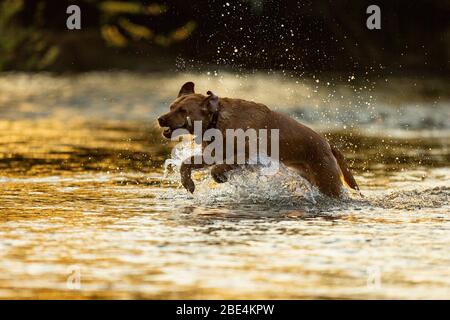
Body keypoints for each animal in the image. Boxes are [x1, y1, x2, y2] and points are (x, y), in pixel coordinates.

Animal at [158, 82, 358, 198]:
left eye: (183, 111)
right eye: (171, 107)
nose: (160, 119)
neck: (217, 119)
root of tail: (328, 145)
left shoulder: (248, 154)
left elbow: (219, 167)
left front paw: (219, 176)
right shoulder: (212, 154)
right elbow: (185, 164)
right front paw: (188, 183)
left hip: (328, 182)